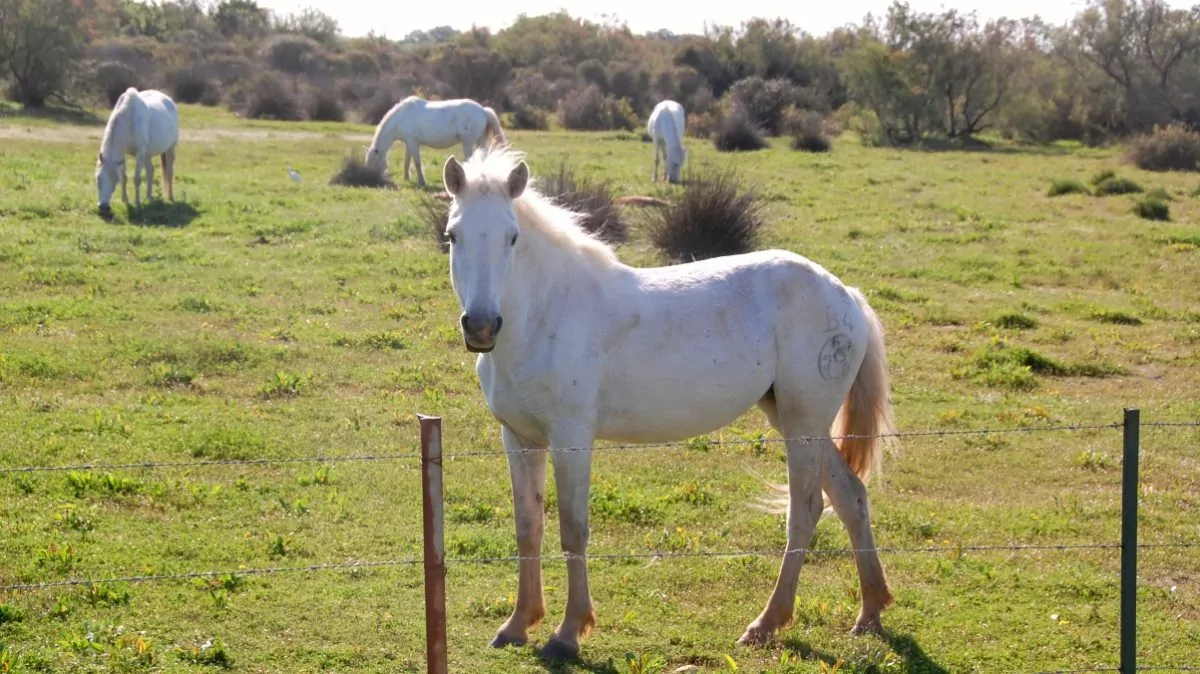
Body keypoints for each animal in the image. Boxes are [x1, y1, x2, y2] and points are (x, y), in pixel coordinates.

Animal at [360, 95, 501, 187]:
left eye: (374, 164)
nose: (372, 181)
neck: (401, 118)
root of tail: (482, 110)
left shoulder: (413, 143)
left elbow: (417, 163)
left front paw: (422, 182)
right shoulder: (408, 143)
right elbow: (407, 162)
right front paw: (406, 179)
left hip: (468, 143)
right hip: (480, 141)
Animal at [436, 145, 897, 657]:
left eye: (512, 237)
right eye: (452, 235)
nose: (481, 326)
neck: (544, 315)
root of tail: (844, 293)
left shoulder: (571, 439)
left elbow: (573, 529)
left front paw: (568, 632)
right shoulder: (519, 439)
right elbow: (528, 526)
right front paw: (518, 624)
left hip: (802, 424)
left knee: (806, 509)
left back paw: (766, 623)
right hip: (796, 420)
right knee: (850, 495)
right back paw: (869, 612)